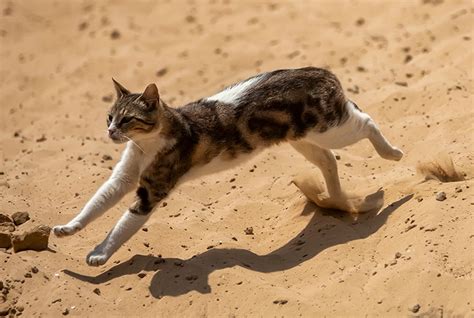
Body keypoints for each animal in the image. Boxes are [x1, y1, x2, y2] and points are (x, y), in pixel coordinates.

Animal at [52, 66, 404, 266]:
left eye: (127, 120)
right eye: (109, 117)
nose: (111, 132)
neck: (145, 145)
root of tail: (322, 71)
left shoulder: (151, 190)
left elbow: (122, 226)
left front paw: (99, 254)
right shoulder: (123, 179)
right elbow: (96, 203)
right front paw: (68, 228)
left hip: (329, 129)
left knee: (366, 121)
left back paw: (393, 154)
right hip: (303, 139)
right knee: (330, 160)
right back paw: (337, 200)